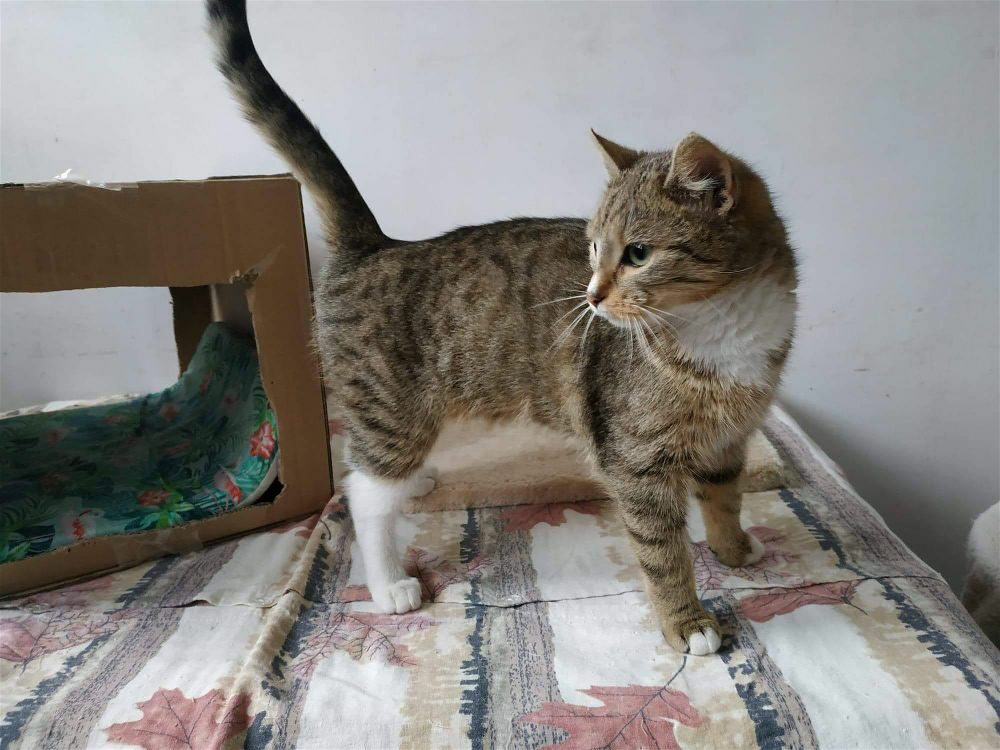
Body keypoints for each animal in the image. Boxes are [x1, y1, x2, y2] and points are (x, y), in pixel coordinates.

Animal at [208, 0, 797, 656]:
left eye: (638, 253)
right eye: (595, 249)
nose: (591, 296)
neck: (721, 327)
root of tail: (377, 246)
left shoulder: (729, 437)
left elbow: (724, 495)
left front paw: (734, 548)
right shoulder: (636, 459)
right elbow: (662, 551)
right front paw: (688, 621)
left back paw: (416, 484)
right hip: (392, 410)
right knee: (363, 493)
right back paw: (389, 585)